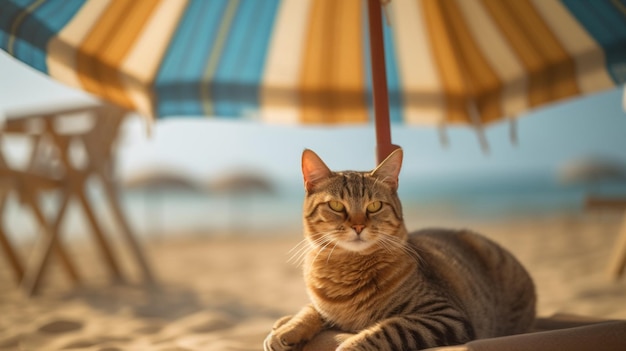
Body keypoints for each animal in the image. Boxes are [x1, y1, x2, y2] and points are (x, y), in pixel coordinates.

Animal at [264, 149, 532, 351]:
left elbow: (388, 329)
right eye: (336, 206)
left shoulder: (446, 316)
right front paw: (289, 329)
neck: (347, 270)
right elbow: (311, 309)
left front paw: (349, 345)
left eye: (374, 206)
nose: (358, 226)